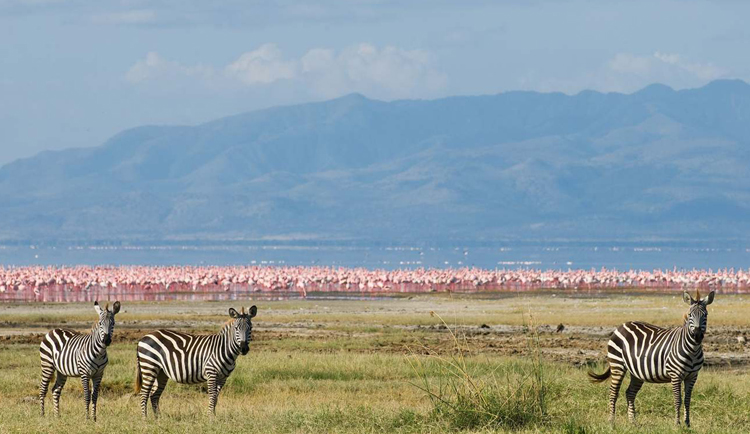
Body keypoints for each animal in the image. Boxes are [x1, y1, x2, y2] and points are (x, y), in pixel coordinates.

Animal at [588, 290, 716, 426]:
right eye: (690, 315)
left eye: (705, 315)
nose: (697, 335)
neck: (693, 350)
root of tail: (622, 325)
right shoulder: (675, 375)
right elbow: (678, 400)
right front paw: (677, 424)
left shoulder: (692, 376)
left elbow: (687, 400)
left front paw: (687, 424)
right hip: (617, 364)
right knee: (613, 392)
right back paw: (611, 422)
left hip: (636, 372)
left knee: (630, 393)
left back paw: (633, 422)